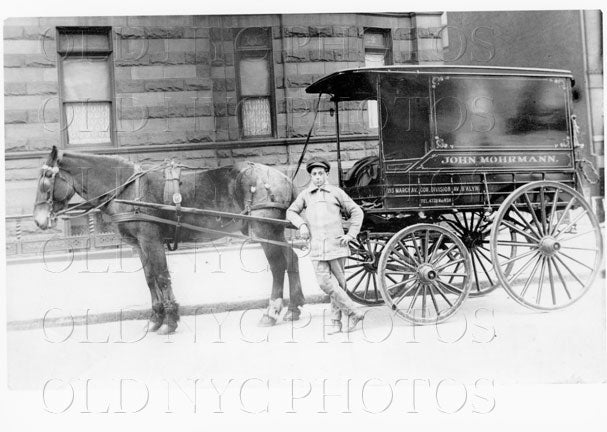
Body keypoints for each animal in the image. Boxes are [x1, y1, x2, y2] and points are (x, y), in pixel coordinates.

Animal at [31, 146, 306, 334]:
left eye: (46, 181)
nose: (39, 220)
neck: (129, 188)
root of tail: (282, 177)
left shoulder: (151, 240)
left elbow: (162, 277)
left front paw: (170, 320)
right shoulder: (140, 245)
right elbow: (150, 279)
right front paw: (156, 318)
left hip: (264, 229)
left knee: (278, 266)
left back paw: (271, 312)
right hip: (275, 231)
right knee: (291, 259)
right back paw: (294, 308)